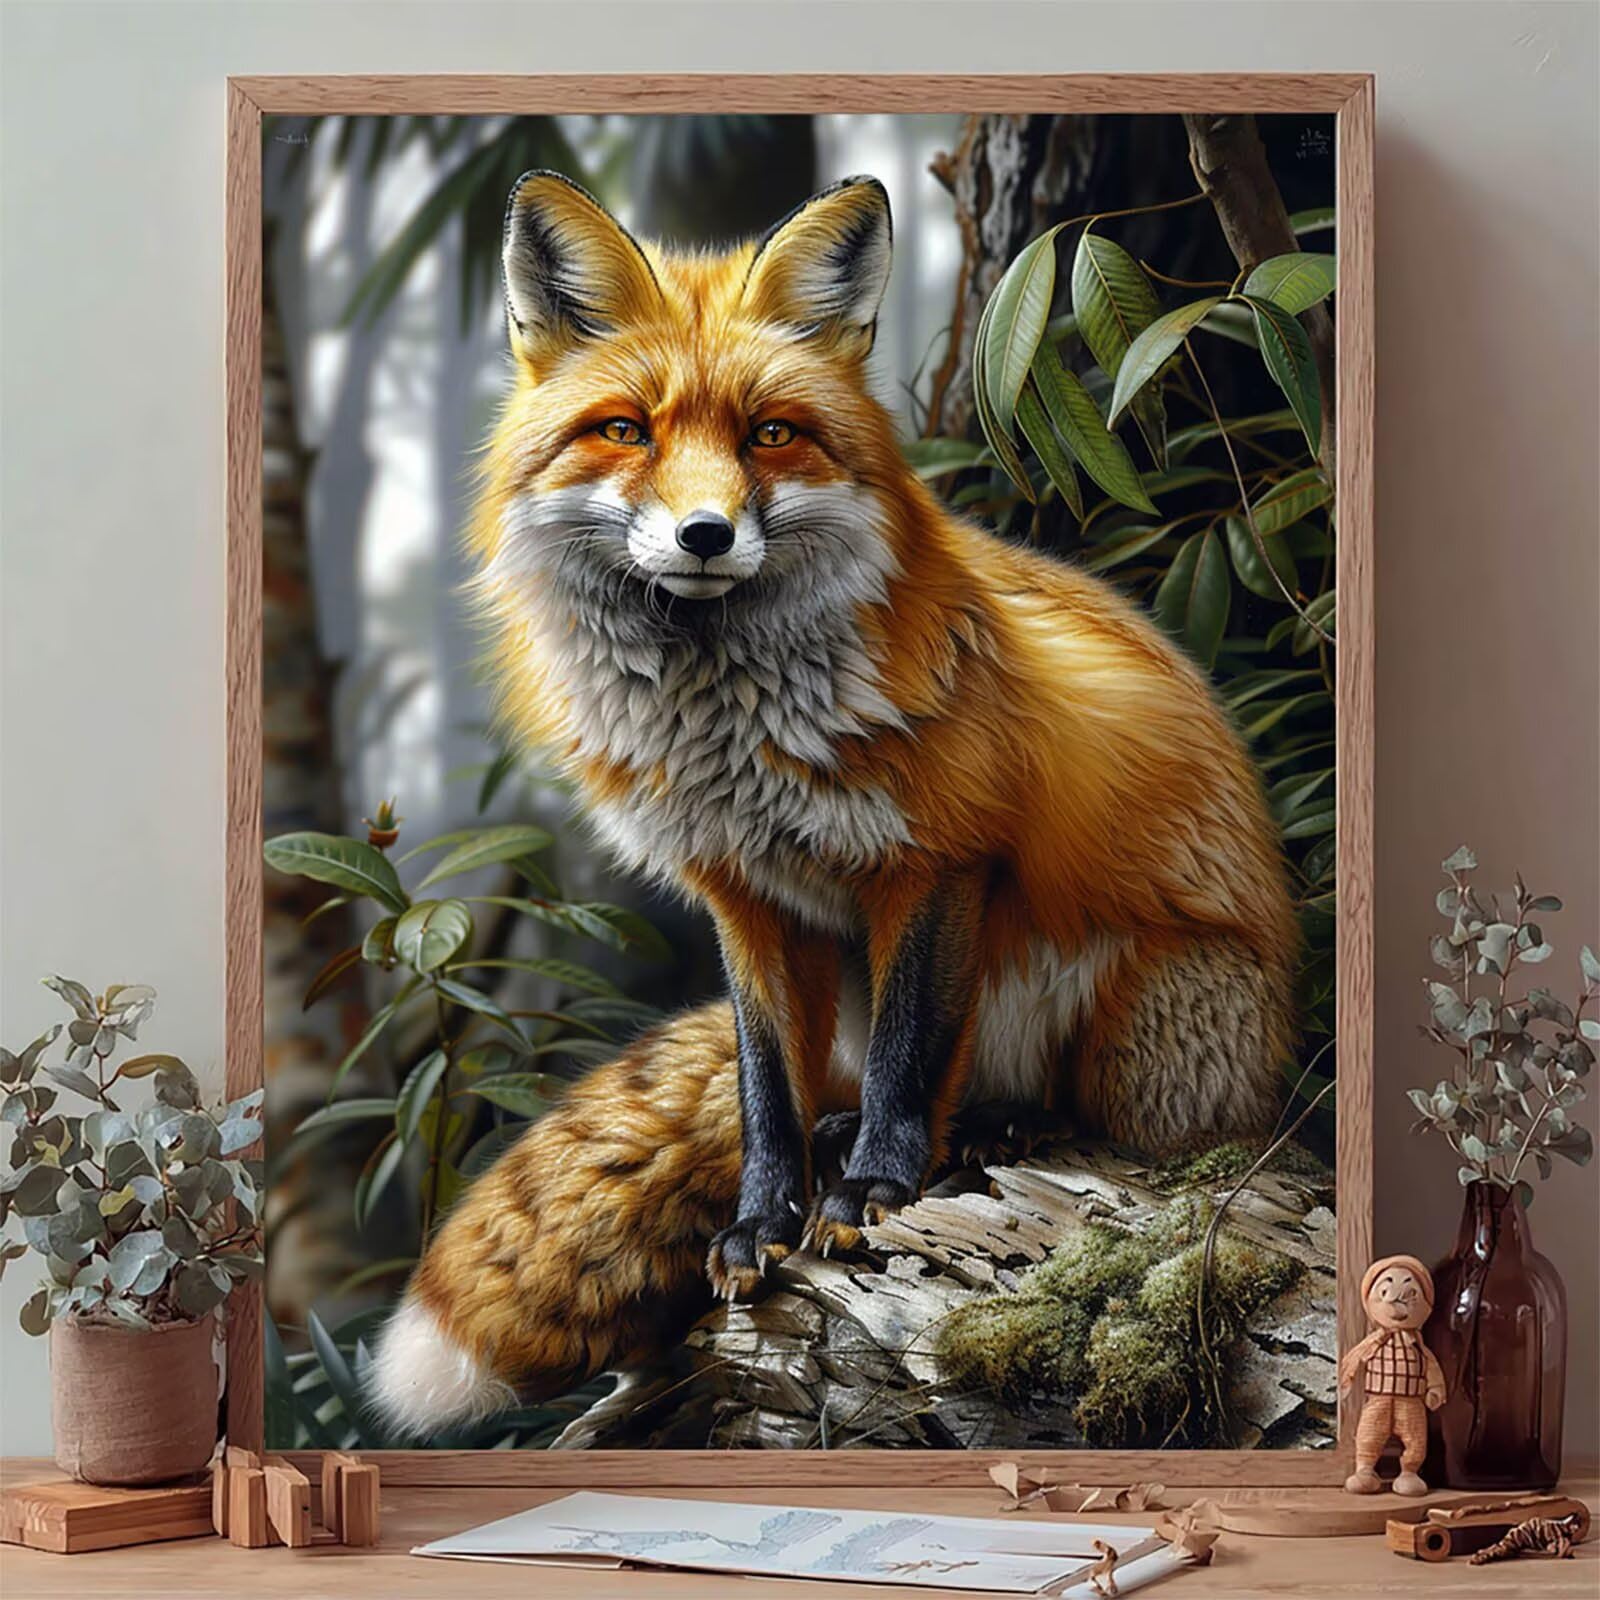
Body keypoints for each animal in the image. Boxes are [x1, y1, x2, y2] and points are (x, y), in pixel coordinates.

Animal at [366, 170, 1299, 1439]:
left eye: (771, 433)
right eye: (626, 429)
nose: (705, 534)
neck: (731, 733)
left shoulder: (935, 859)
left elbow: (913, 1047)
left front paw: (874, 1190)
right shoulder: (743, 894)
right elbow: (765, 1087)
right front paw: (765, 1219)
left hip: (1139, 1012)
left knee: (1115, 1123)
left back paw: (996, 1127)